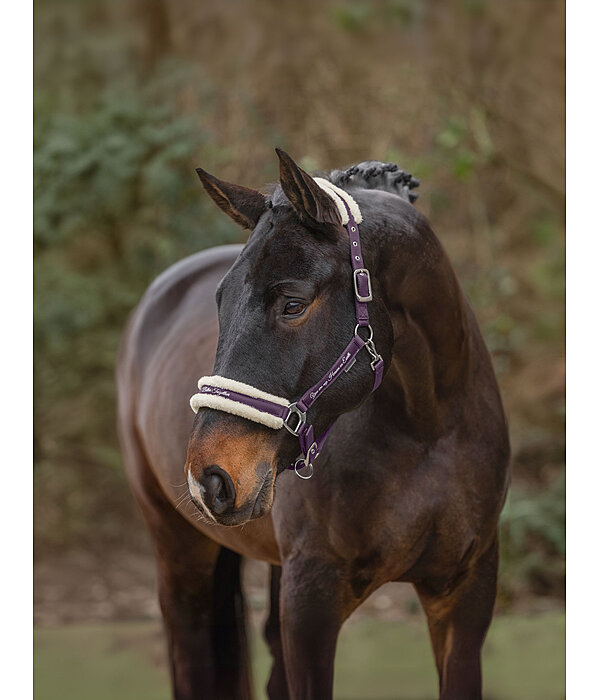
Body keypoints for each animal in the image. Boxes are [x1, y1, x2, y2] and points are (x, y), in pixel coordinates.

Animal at [117, 146, 510, 696]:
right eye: (220, 303)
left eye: (293, 304)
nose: (209, 478)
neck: (426, 430)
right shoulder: (311, 606)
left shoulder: (465, 598)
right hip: (180, 554)